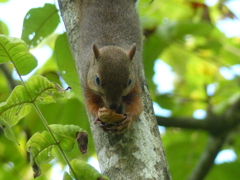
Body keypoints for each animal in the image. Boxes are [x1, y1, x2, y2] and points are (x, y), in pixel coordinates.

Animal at [78, 0, 142, 132]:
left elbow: (137, 104)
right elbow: (90, 102)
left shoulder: (136, 83)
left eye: (129, 81)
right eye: (97, 80)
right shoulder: (86, 80)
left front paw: (128, 119)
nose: (113, 106)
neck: (111, 44)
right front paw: (97, 114)